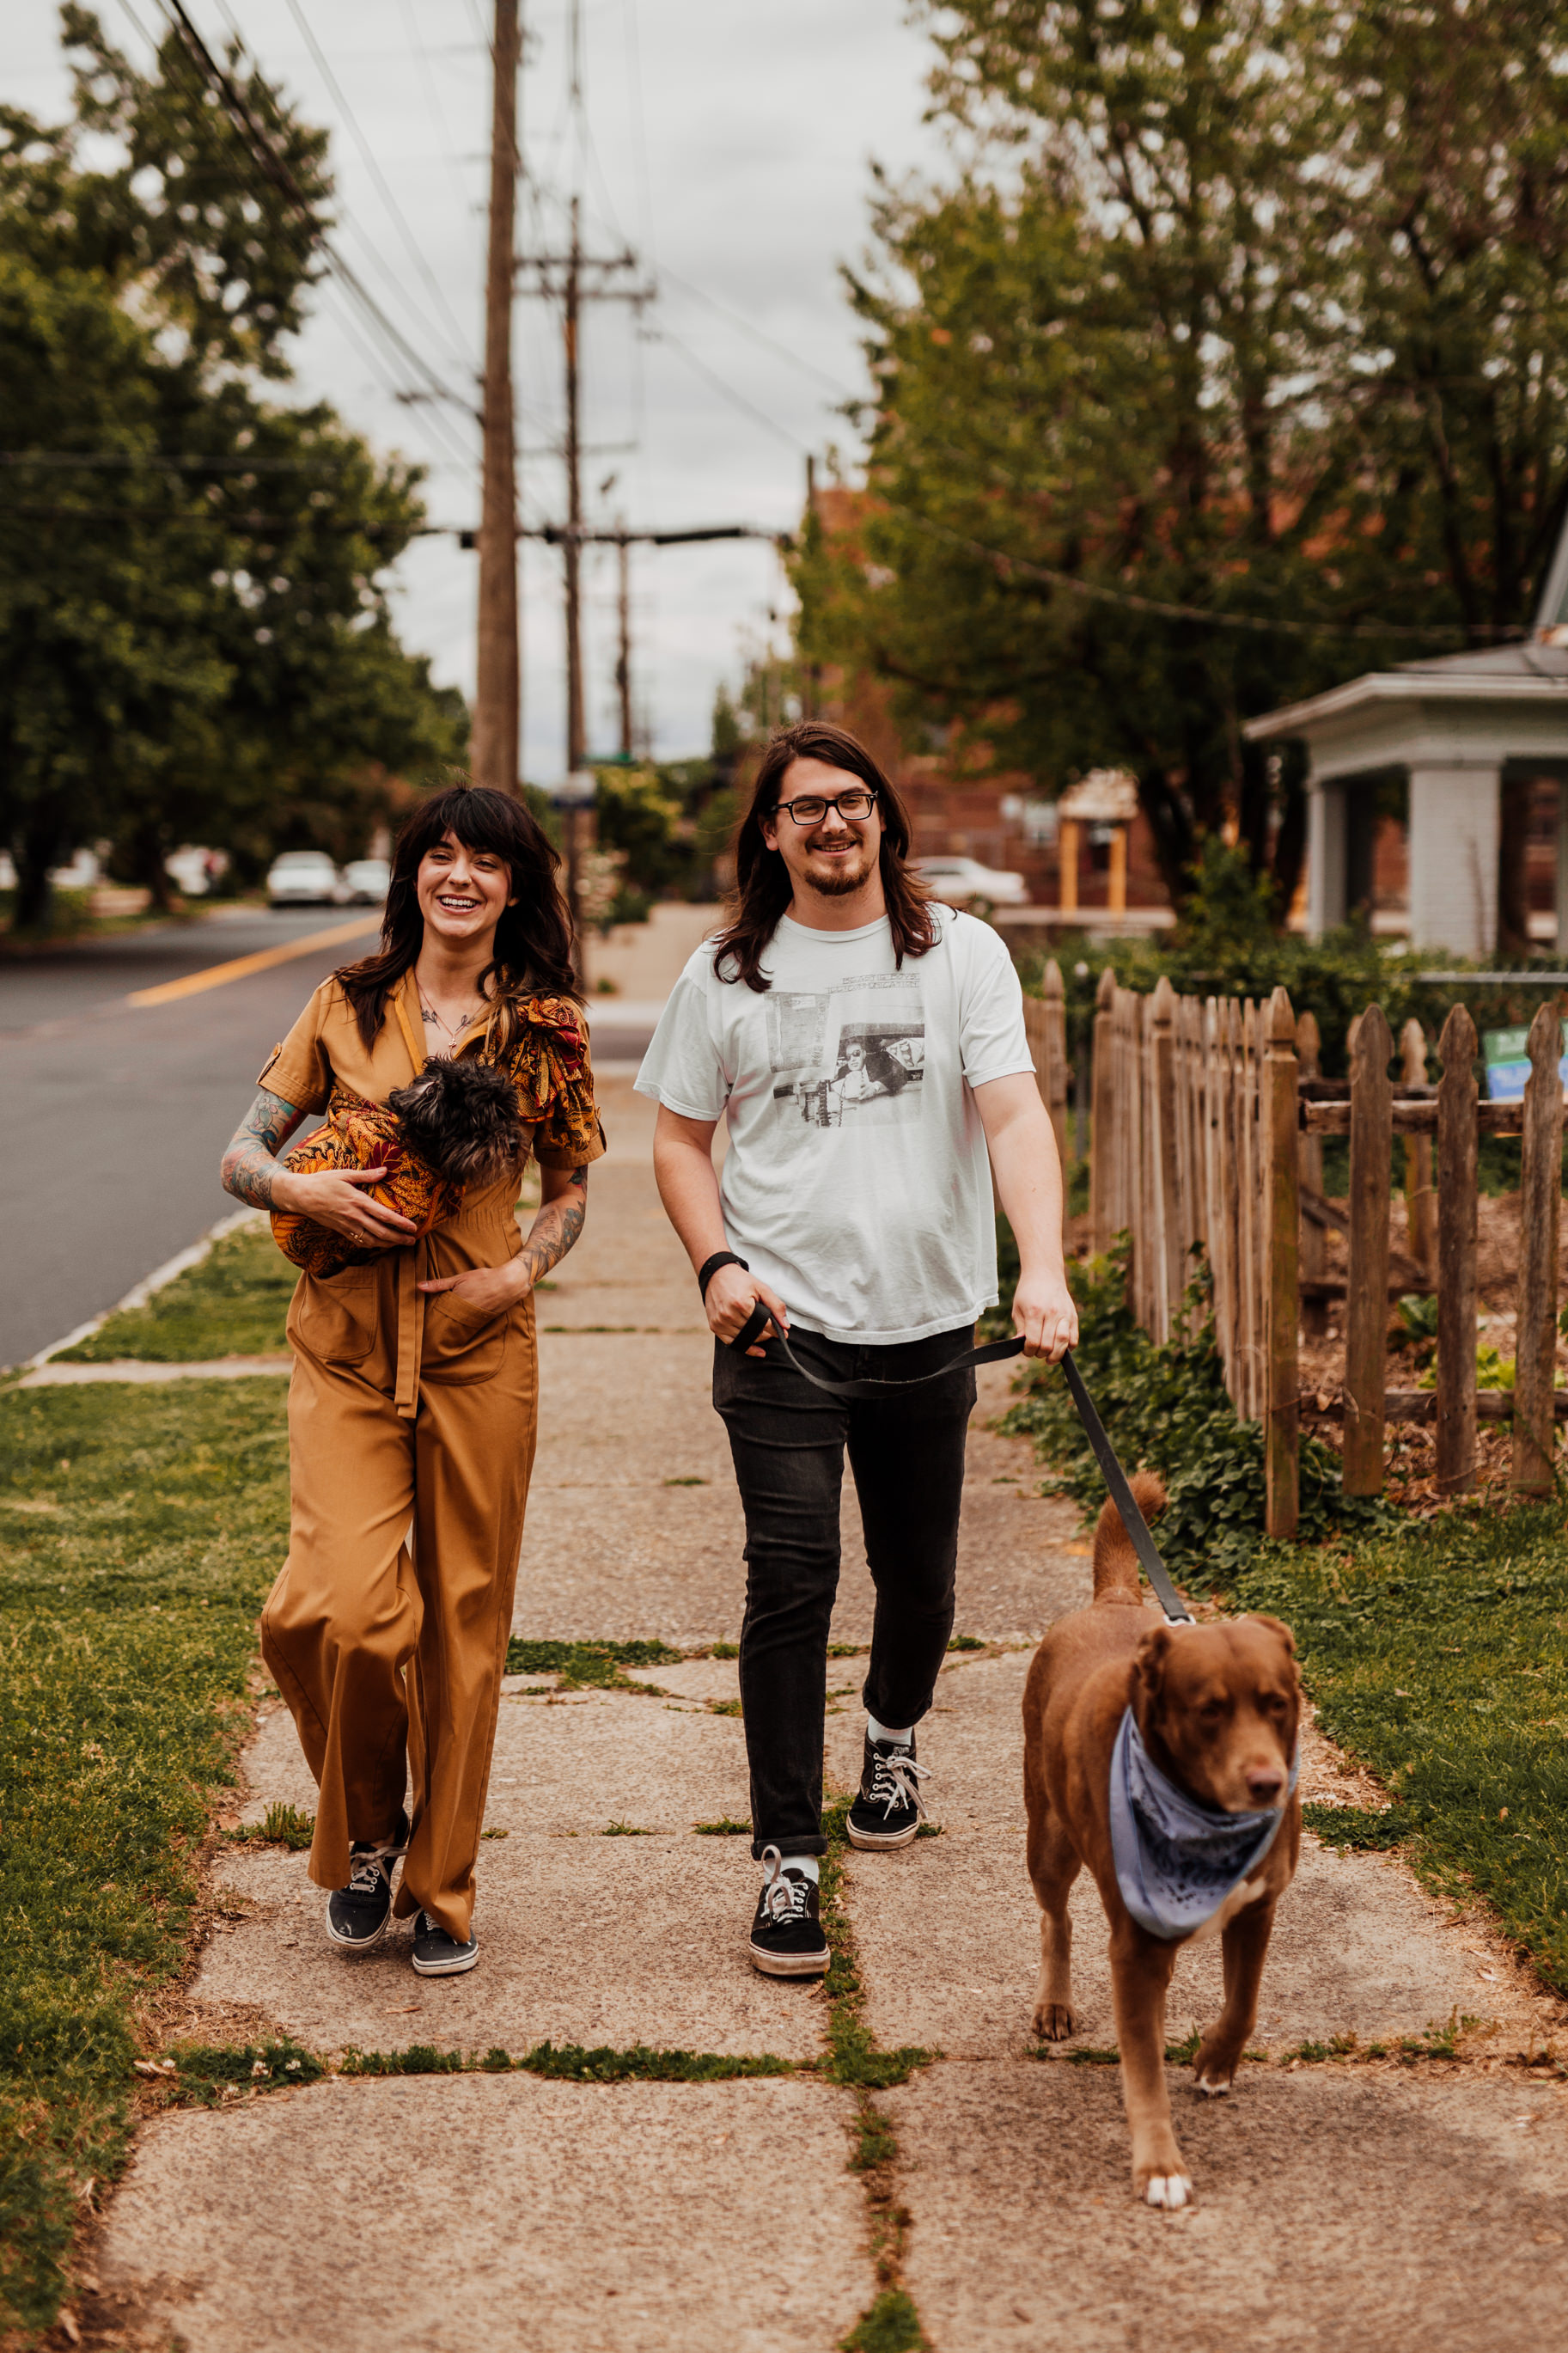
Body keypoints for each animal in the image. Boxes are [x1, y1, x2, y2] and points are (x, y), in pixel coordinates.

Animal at [1020, 1477, 1297, 2211]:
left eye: (1278, 1703)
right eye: (1208, 1711)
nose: (1267, 1783)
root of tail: (1115, 1600)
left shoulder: (1257, 1907)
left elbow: (1244, 2001)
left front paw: (1215, 2062)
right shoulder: (1137, 1950)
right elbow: (1141, 2068)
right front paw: (1159, 2167)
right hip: (1048, 1836)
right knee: (1055, 1917)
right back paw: (1053, 2003)